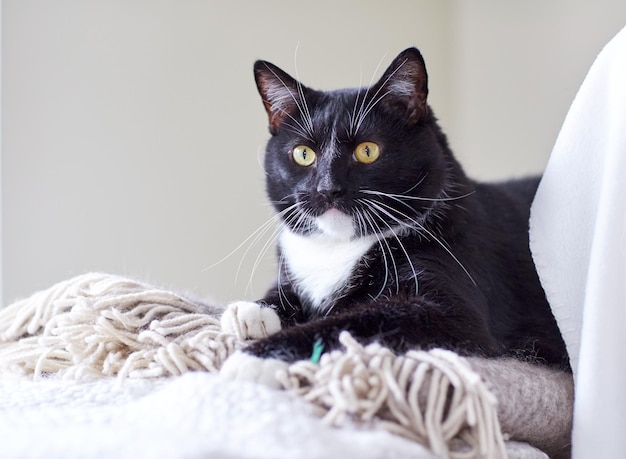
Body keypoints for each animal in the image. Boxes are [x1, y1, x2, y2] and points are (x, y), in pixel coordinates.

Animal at [219, 47, 572, 384]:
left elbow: (348, 323)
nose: (327, 188)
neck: (339, 246)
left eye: (368, 150)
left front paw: (253, 359)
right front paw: (252, 312)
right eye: (303, 154)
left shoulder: (450, 310)